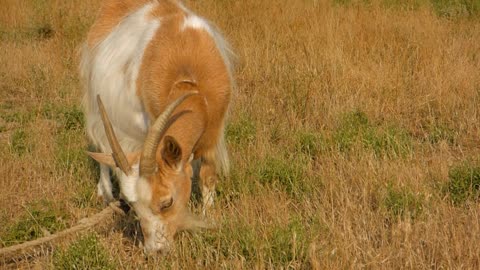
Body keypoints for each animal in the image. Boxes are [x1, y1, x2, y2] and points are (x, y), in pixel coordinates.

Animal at [79, 0, 233, 253]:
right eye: (135, 207)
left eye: (167, 202)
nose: (155, 251)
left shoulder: (214, 132)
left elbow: (208, 177)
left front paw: (208, 217)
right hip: (95, 101)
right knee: (100, 145)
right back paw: (105, 192)